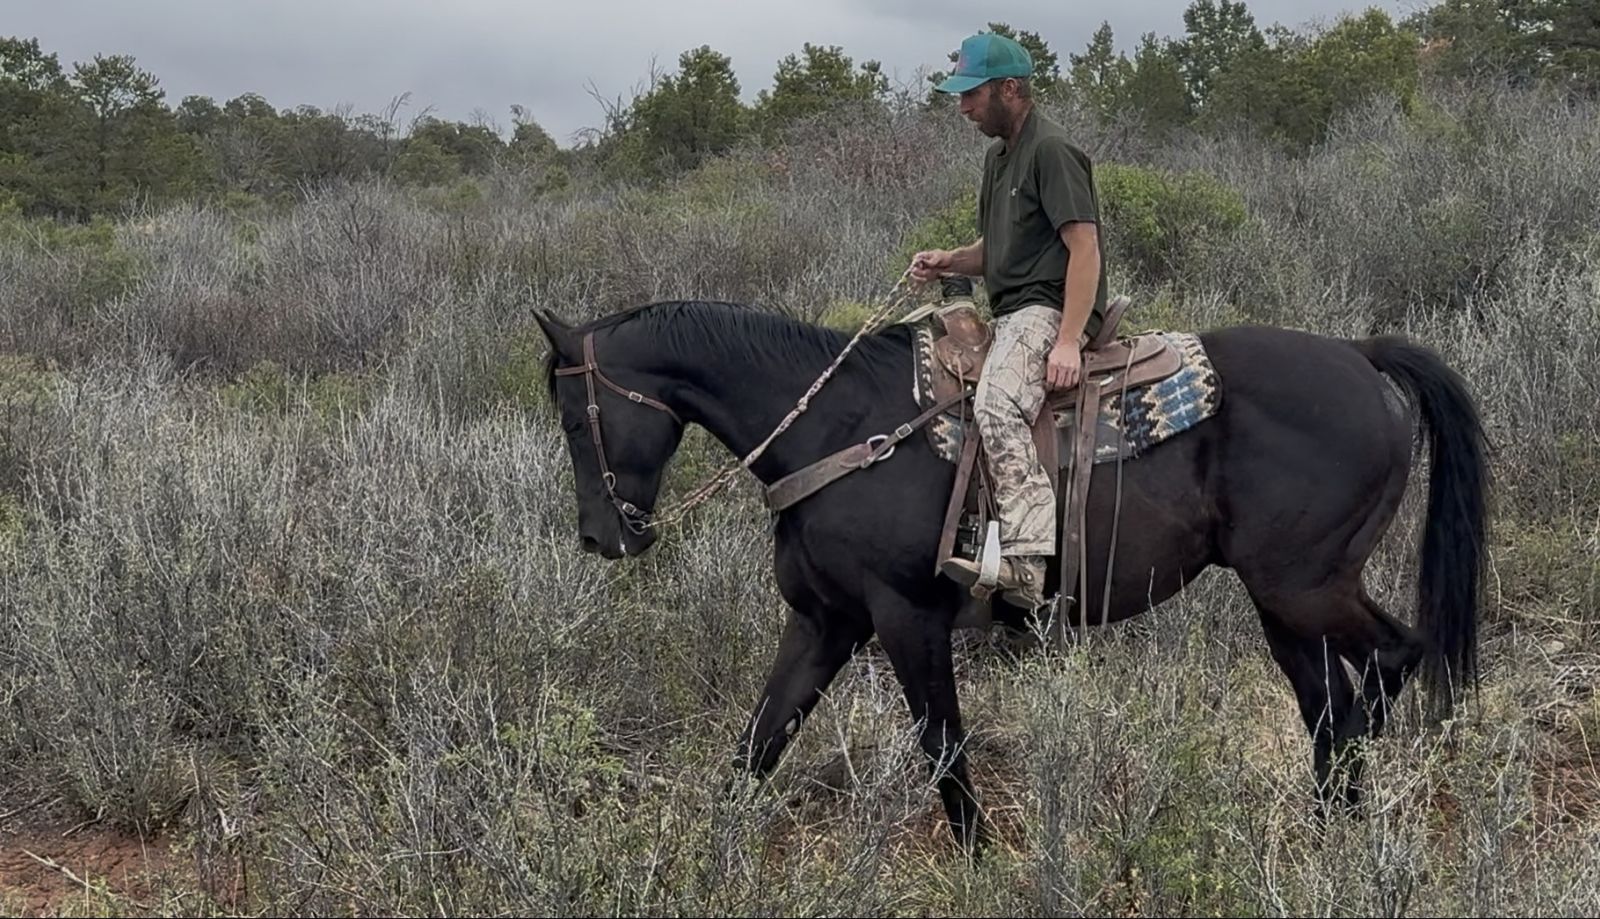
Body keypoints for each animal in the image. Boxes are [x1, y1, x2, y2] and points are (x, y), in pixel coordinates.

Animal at [534, 297, 1489, 852]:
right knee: (1326, 700)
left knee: (1390, 664)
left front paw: (974, 854)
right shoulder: (824, 621)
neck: (838, 430)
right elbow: (758, 742)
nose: (600, 538)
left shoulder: (906, 616)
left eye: (576, 418)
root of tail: (1361, 356)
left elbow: (941, 741)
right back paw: (1329, 827)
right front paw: (702, 846)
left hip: (1306, 584)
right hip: (1280, 600)